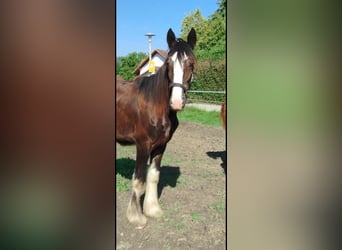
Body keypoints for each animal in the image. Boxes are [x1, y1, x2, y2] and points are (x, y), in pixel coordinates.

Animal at [117, 27, 198, 229]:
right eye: (169, 62)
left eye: (191, 63)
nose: (176, 102)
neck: (155, 104)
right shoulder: (142, 144)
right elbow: (139, 180)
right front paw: (136, 216)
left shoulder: (161, 145)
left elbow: (153, 176)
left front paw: (152, 209)